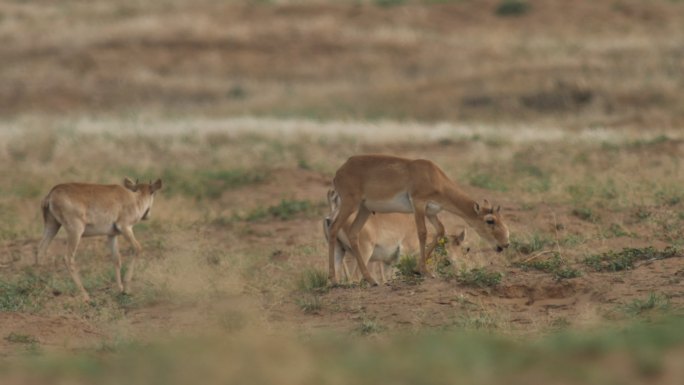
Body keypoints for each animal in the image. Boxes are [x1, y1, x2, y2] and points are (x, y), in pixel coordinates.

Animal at [326, 154, 508, 284]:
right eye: (490, 220)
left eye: (500, 218)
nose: (505, 244)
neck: (433, 175)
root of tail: (340, 171)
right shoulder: (418, 205)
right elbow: (423, 232)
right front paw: (425, 271)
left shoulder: (431, 212)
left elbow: (440, 231)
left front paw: (417, 269)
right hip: (350, 204)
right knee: (333, 228)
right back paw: (333, 280)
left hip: (364, 209)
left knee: (353, 233)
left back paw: (371, 280)